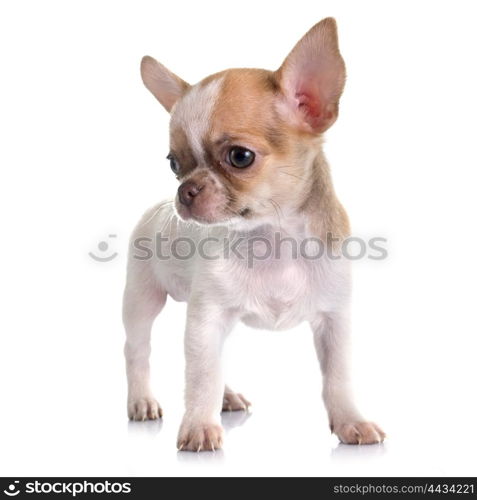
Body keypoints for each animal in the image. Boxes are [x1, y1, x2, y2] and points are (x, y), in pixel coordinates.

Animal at [122, 17, 384, 452]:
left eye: (240, 157)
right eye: (174, 163)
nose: (184, 190)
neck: (271, 239)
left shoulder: (334, 319)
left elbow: (338, 377)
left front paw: (351, 421)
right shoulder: (207, 318)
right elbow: (202, 377)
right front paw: (199, 425)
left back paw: (227, 397)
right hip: (142, 301)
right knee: (138, 351)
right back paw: (141, 400)